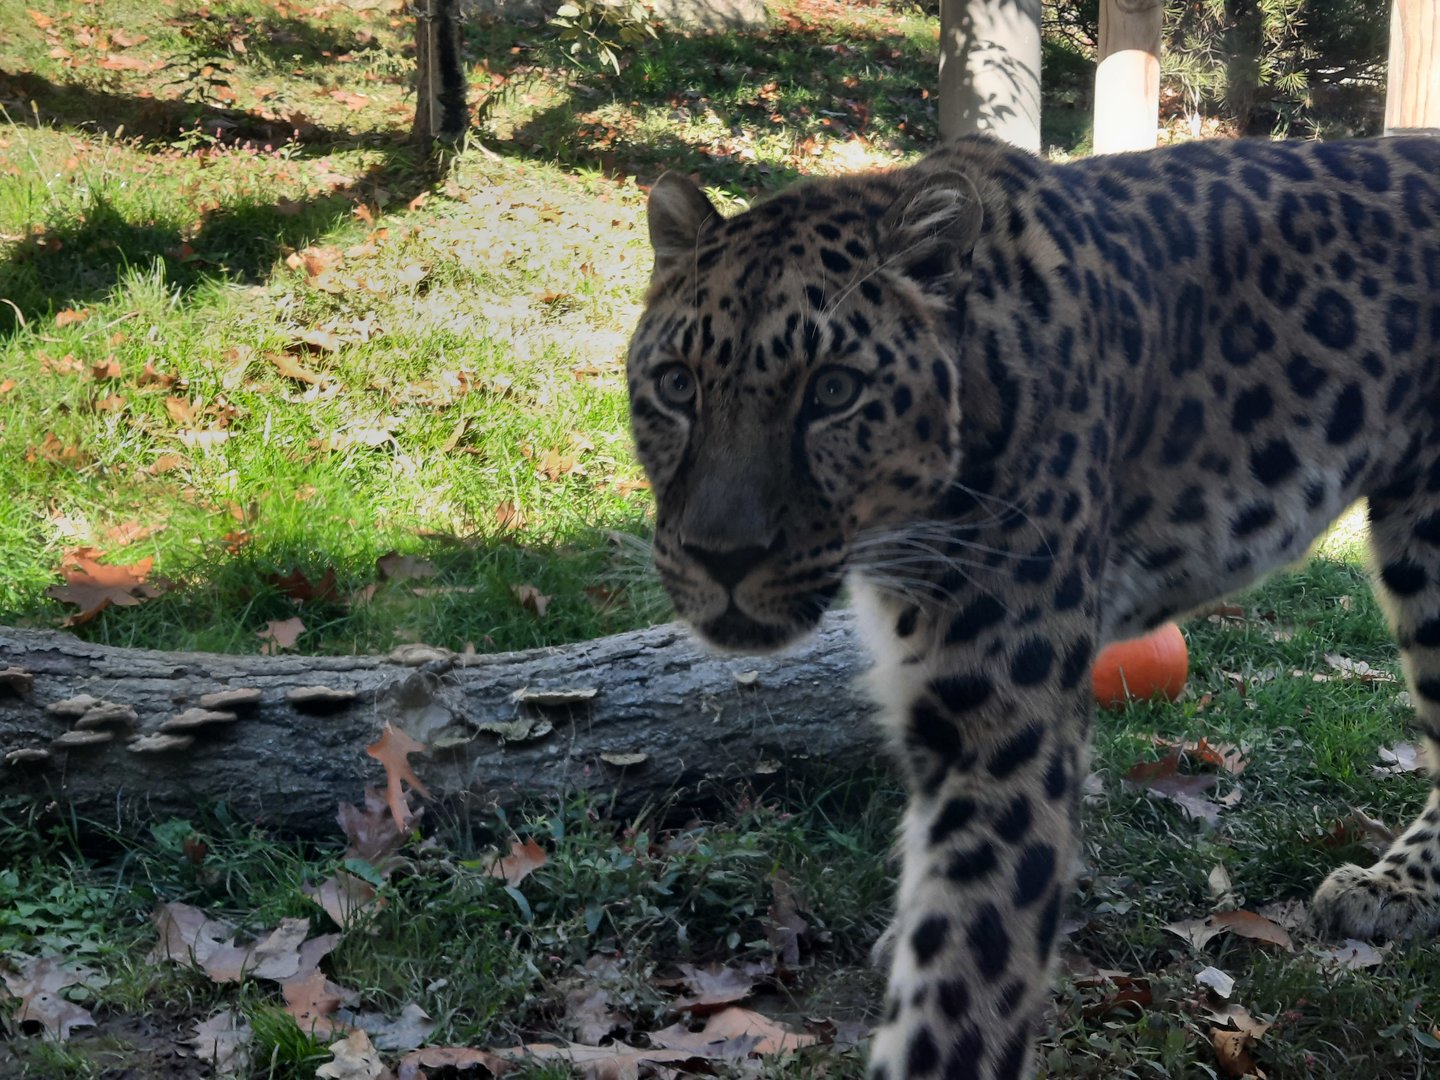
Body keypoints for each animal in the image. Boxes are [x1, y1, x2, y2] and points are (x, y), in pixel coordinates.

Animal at [624, 133, 1440, 1080]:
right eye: (677, 385)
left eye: (833, 391)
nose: (722, 556)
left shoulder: (999, 722)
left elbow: (961, 982)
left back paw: (1391, 886)